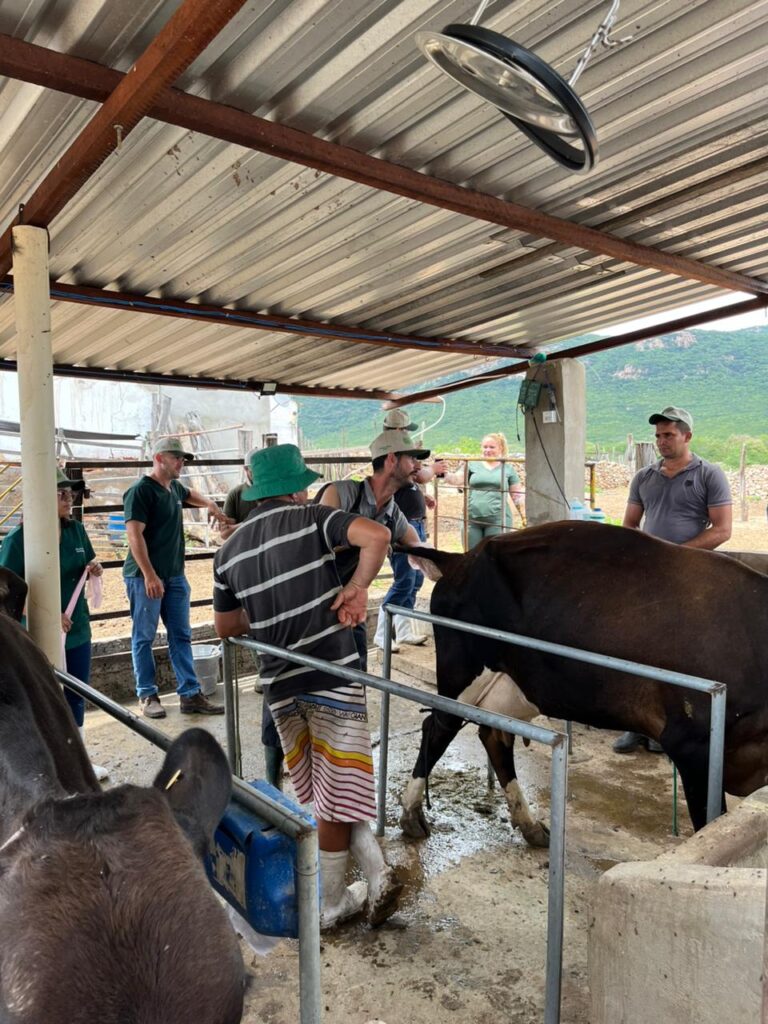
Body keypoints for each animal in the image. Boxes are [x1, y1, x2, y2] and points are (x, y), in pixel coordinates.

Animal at [398, 521, 768, 846]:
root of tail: (461, 558)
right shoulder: (692, 743)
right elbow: (709, 825)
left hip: (518, 687)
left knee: (494, 736)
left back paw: (530, 826)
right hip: (462, 670)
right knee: (438, 727)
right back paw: (411, 814)